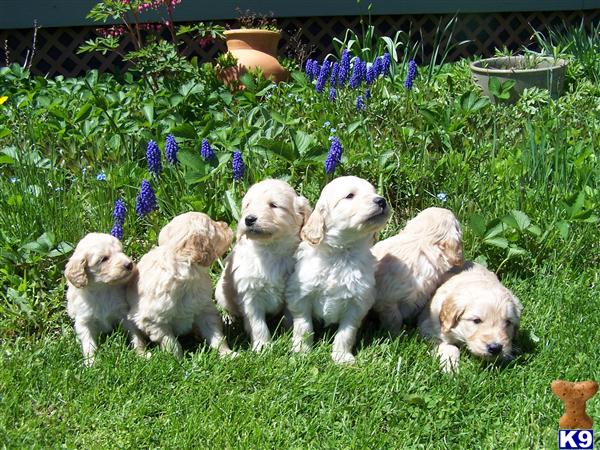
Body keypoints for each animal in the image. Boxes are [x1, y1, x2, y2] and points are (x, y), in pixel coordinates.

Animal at [65, 234, 139, 368]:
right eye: (104, 259)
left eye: (121, 251)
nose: (129, 264)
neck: (102, 288)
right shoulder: (84, 321)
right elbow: (88, 343)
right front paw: (91, 363)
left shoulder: (124, 314)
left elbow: (136, 335)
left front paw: (142, 354)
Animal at [127, 212, 236, 358]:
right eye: (214, 226)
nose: (226, 224)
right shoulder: (154, 320)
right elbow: (171, 343)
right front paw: (177, 360)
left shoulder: (204, 308)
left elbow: (216, 335)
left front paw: (228, 354)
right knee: (136, 338)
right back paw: (143, 356)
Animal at [214, 178, 310, 352]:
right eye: (248, 205)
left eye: (273, 205)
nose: (249, 219)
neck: (269, 249)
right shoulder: (250, 294)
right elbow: (257, 324)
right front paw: (262, 346)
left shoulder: (291, 289)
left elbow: (288, 316)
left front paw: (287, 332)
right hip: (221, 291)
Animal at [288, 174, 392, 364]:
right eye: (350, 196)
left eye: (374, 192)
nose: (381, 200)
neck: (341, 252)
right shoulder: (301, 295)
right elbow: (304, 326)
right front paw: (301, 352)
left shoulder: (357, 303)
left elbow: (346, 333)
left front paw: (342, 358)